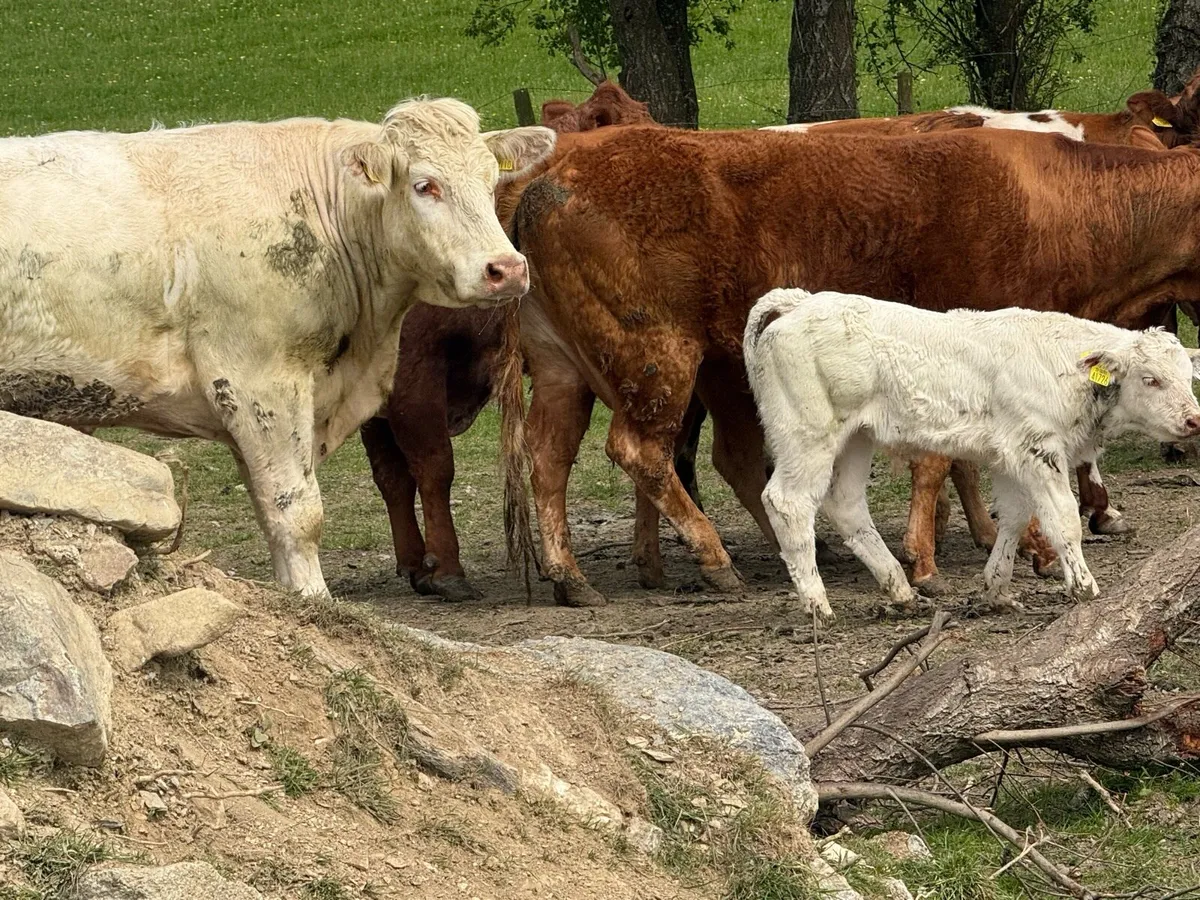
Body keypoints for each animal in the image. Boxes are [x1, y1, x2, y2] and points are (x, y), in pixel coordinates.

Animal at [0, 98, 556, 598]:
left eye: (491, 181)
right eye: (425, 185)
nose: (506, 269)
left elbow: (271, 509)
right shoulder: (259, 383)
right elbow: (298, 510)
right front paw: (316, 601)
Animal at [743, 289, 1200, 621]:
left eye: (1186, 376)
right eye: (1151, 379)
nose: (1194, 419)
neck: (1065, 366)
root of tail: (799, 302)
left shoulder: (1011, 459)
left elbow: (1015, 518)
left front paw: (997, 589)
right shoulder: (1039, 450)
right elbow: (1063, 519)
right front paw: (1084, 586)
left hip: (856, 438)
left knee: (846, 504)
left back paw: (902, 592)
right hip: (808, 436)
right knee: (787, 503)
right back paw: (818, 606)